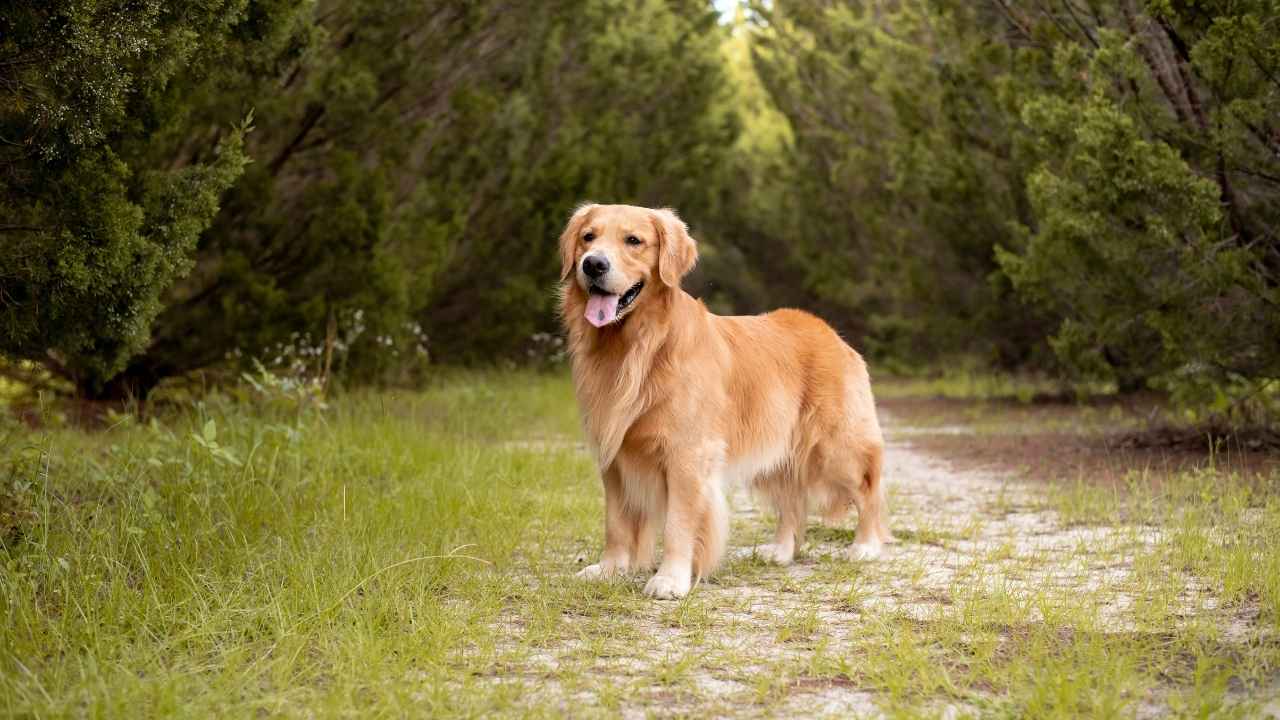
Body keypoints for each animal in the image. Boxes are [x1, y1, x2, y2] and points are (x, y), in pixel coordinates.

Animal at [560, 202, 890, 594]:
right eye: (588, 237)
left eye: (634, 240)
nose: (593, 264)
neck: (637, 346)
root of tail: (827, 330)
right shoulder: (614, 453)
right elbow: (615, 521)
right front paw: (609, 568)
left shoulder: (687, 453)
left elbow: (677, 524)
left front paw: (670, 579)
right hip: (777, 451)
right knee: (792, 500)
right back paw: (781, 550)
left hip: (836, 448)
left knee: (869, 490)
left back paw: (865, 545)